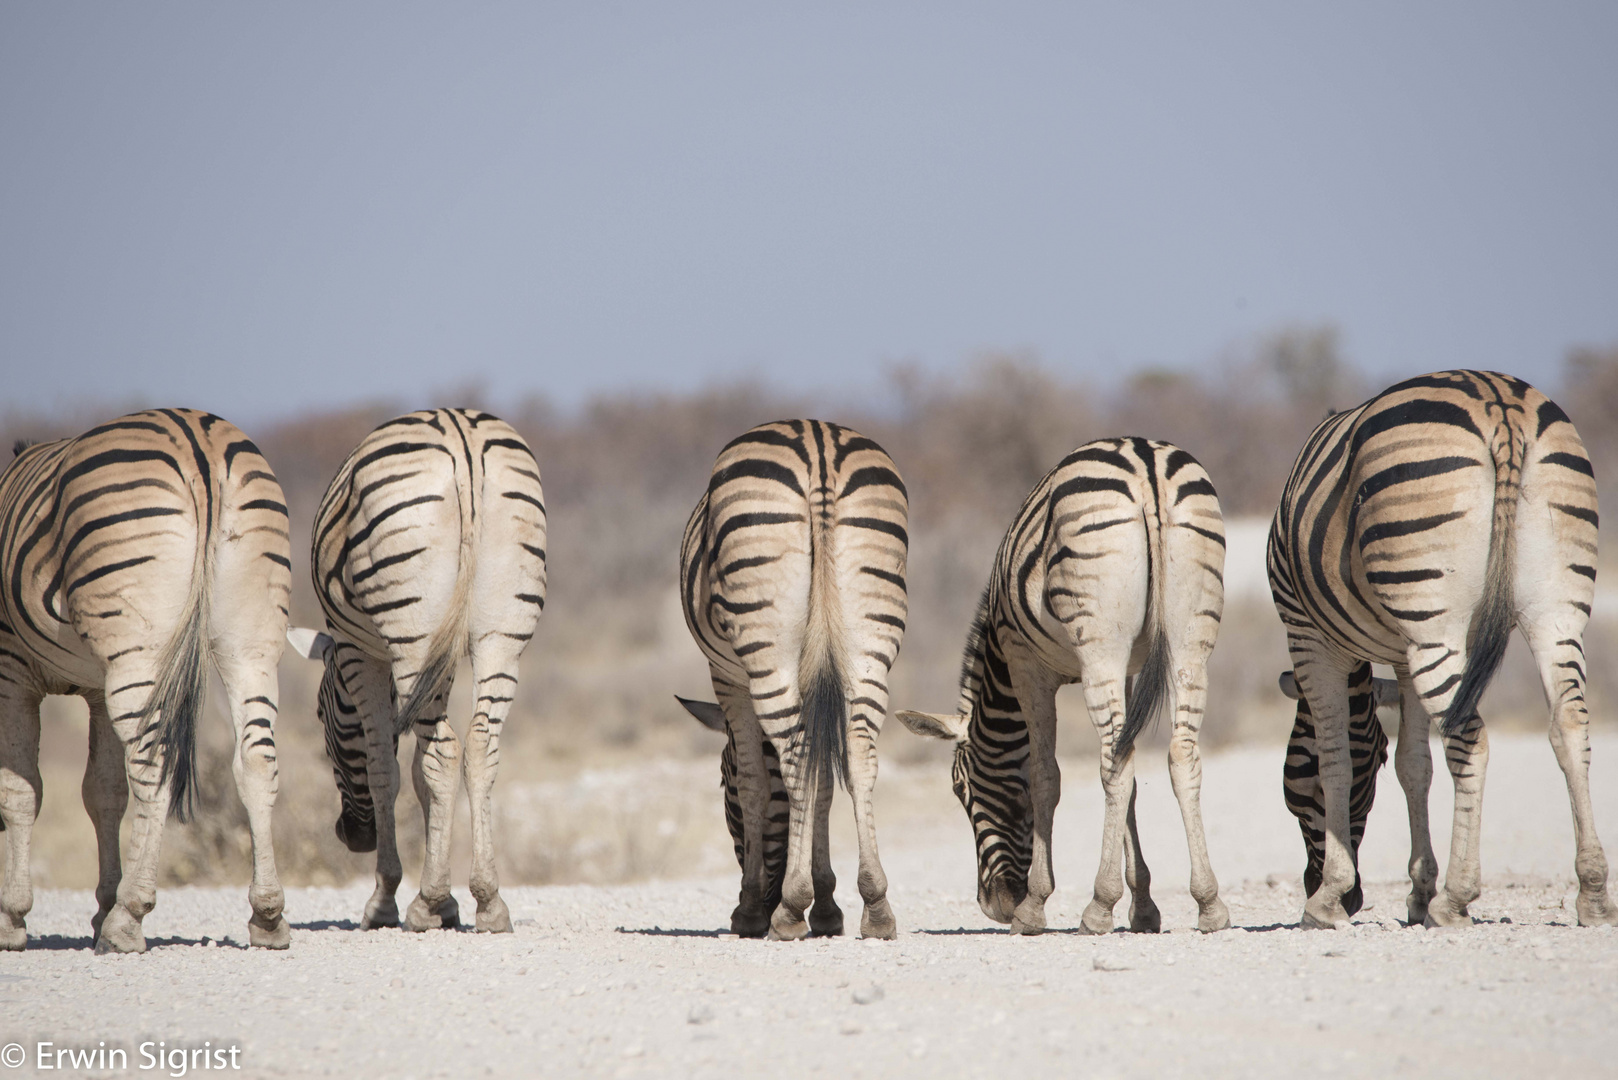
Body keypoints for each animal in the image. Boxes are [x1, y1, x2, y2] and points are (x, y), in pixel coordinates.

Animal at [0, 409, 294, 952]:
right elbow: (103, 791)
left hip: (138, 650)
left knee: (153, 766)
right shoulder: (96, 689)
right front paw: (99, 906)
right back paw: (267, 916)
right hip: (253, 643)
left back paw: (128, 919)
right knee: (257, 761)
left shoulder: (12, 670)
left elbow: (22, 791)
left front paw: (14, 918)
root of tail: (198, 441)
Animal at [288, 409, 546, 932]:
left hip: (414, 632)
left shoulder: (358, 652)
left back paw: (425, 903)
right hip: (502, 632)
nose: (352, 836)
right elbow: (420, 771)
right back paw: (489, 901)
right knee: (480, 746)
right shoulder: (440, 666)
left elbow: (385, 769)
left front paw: (389, 900)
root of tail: (463, 437)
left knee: (445, 751)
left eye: (320, 718)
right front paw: (448, 902)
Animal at [679, 417, 912, 939]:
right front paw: (828, 904)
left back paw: (788, 909)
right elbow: (824, 778)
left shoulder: (727, 680)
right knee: (858, 755)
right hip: (871, 642)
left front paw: (752, 909)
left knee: (798, 751)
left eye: (720, 785)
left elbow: (756, 781)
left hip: (765, 644)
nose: (760, 902)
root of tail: (817, 440)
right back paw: (877, 906)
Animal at [899, 440, 1223, 939]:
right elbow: (1130, 785)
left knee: (1115, 762)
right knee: (1179, 756)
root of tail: (1145, 463)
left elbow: (1044, 777)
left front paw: (1034, 906)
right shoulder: (1128, 670)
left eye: (960, 789)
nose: (994, 906)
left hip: (1099, 645)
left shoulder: (1025, 664)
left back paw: (1098, 906)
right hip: (1190, 641)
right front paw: (1143, 907)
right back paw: (1209, 903)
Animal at [1268, 372, 1611, 932]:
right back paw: (1594, 894)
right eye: (1378, 764)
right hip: (1557, 610)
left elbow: (1336, 755)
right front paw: (1416, 891)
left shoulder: (1309, 636)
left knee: (1471, 737)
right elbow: (1415, 765)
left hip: (1434, 617)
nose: (1355, 899)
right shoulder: (1403, 655)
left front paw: (1326, 900)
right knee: (1570, 725)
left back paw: (1456, 897)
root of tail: (1500, 404)